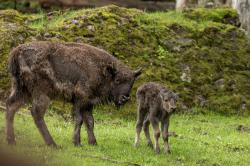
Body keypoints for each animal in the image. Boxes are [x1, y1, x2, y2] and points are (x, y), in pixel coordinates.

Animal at [5, 41, 142, 147]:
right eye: (117, 80)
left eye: (132, 82)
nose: (125, 98)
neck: (102, 70)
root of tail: (17, 52)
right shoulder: (80, 100)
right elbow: (79, 120)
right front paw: (77, 142)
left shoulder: (88, 103)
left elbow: (90, 121)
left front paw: (93, 143)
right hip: (42, 94)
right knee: (36, 113)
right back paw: (53, 144)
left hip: (22, 91)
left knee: (11, 106)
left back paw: (11, 141)